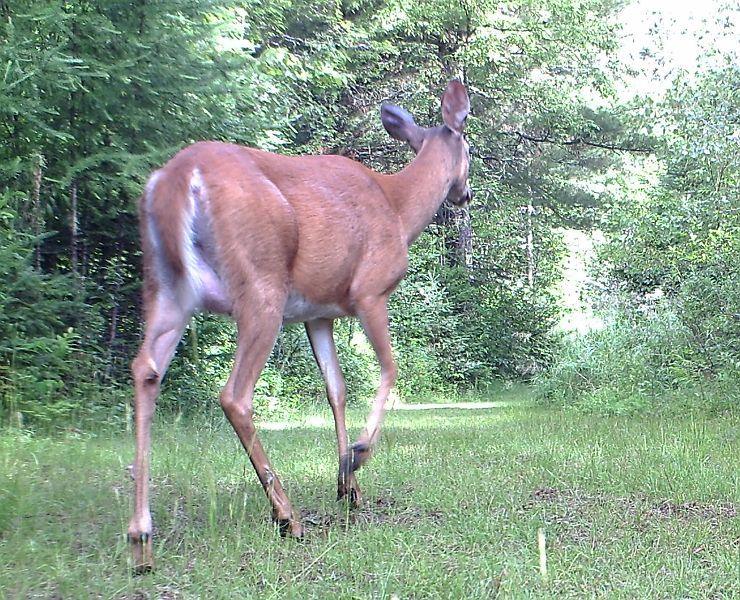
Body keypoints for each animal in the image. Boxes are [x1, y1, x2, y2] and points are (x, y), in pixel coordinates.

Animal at [129, 79, 468, 572]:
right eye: (470, 147)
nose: (465, 194)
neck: (399, 208)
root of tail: (176, 176)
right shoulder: (370, 292)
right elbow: (390, 368)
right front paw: (358, 456)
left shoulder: (318, 313)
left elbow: (336, 389)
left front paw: (348, 488)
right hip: (260, 286)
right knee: (234, 395)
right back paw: (287, 517)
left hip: (166, 288)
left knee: (145, 370)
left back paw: (141, 539)